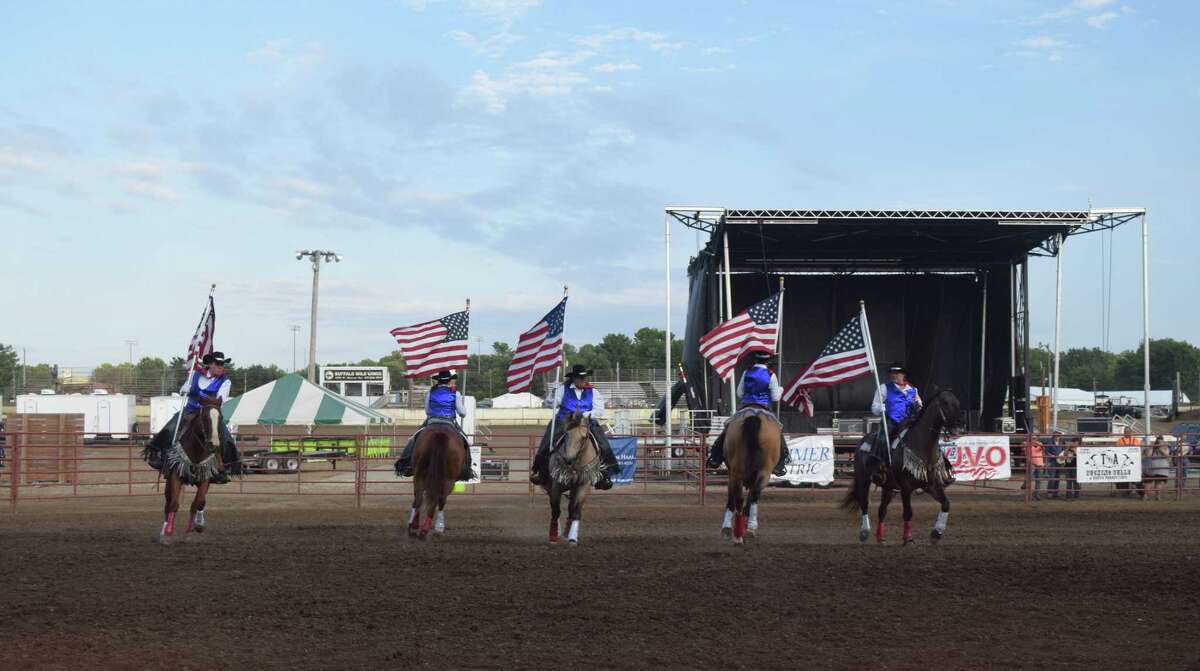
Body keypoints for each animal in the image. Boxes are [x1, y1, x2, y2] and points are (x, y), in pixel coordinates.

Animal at [542, 410, 600, 547]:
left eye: (584, 437)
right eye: (566, 434)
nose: (569, 460)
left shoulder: (583, 485)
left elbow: (576, 511)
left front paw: (572, 538)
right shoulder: (556, 485)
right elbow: (555, 510)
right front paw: (553, 535)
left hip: (573, 489)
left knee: (570, 509)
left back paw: (566, 531)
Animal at [715, 410, 782, 547]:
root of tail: (755, 416)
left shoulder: (732, 474)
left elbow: (736, 500)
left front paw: (728, 529)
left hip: (740, 472)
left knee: (740, 498)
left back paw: (739, 534)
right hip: (762, 473)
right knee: (751, 497)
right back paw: (746, 530)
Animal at [844, 388, 964, 547]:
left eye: (958, 402)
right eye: (945, 403)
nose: (959, 428)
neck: (921, 446)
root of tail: (862, 441)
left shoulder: (932, 485)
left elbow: (946, 504)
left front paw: (936, 534)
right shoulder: (906, 487)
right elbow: (908, 512)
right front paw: (908, 539)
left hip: (889, 487)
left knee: (882, 510)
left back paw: (880, 538)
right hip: (863, 479)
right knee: (864, 504)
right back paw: (864, 532)